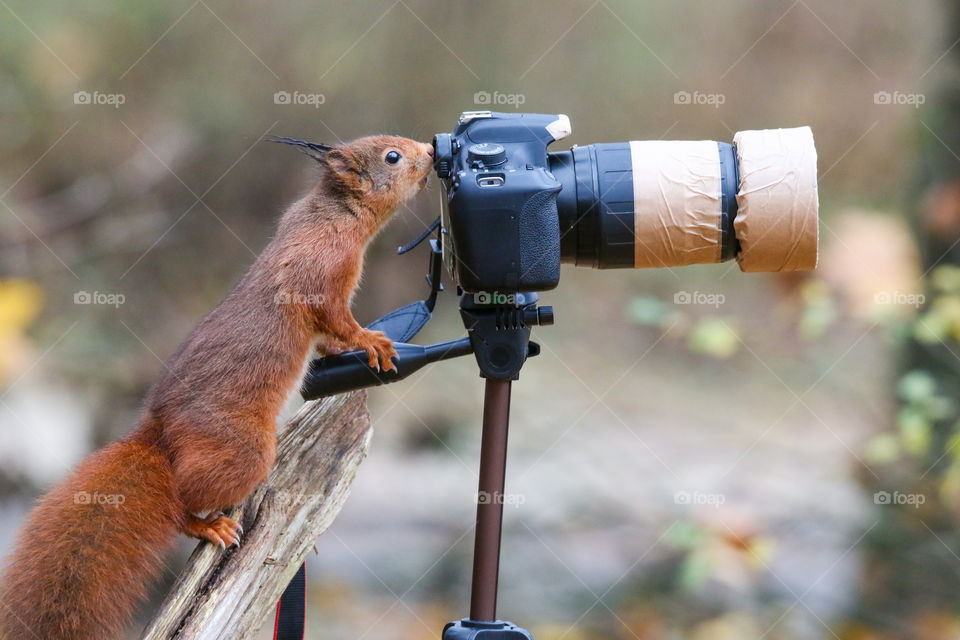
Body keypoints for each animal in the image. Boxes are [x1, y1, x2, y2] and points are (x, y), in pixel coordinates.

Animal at [0, 134, 436, 640]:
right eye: (392, 156)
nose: (430, 149)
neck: (332, 217)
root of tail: (161, 432)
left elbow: (329, 338)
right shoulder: (319, 276)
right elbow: (337, 319)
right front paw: (373, 342)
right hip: (242, 449)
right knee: (181, 500)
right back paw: (206, 526)